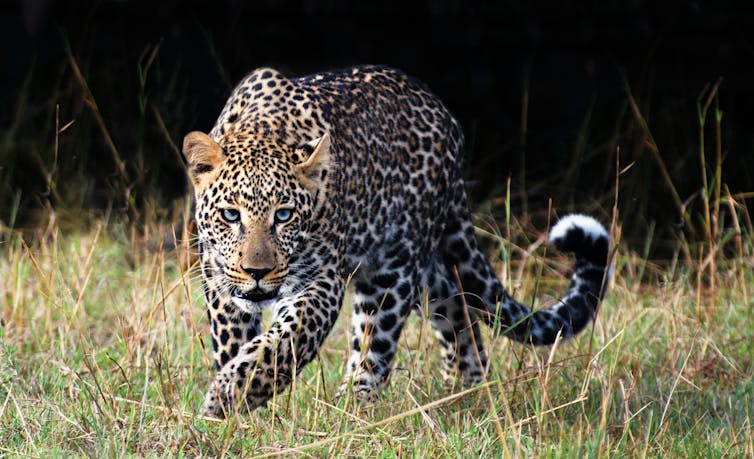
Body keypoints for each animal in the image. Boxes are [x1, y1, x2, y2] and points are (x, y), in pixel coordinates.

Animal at [182, 65, 611, 419]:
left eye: (284, 215)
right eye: (231, 215)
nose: (258, 271)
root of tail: (446, 118)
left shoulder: (321, 281)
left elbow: (284, 343)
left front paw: (225, 399)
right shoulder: (218, 278)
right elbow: (235, 342)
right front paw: (236, 412)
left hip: (394, 271)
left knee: (374, 351)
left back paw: (352, 413)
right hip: (431, 278)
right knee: (460, 318)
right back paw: (463, 397)